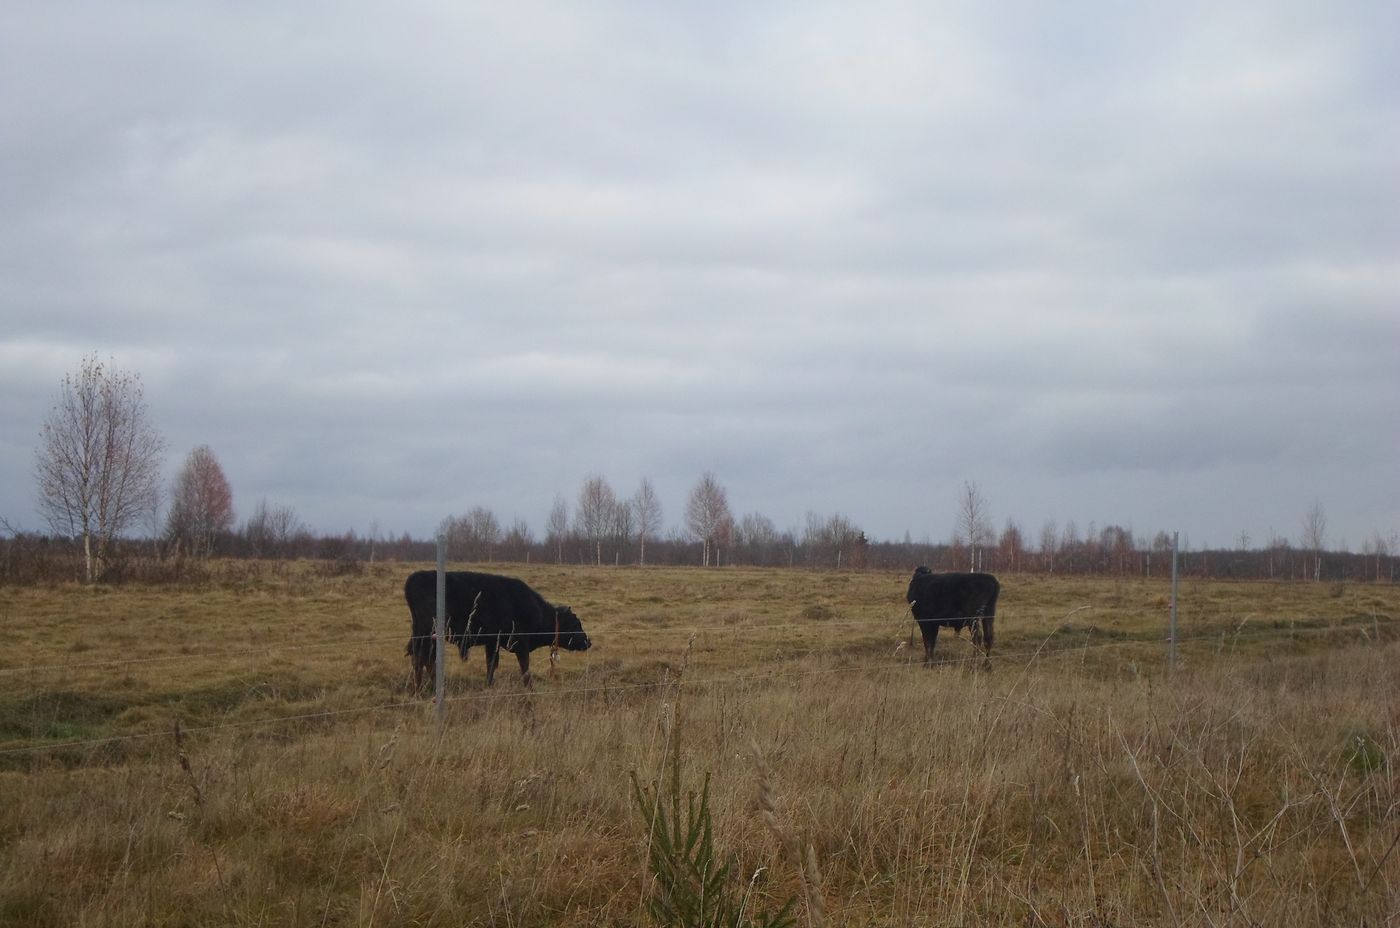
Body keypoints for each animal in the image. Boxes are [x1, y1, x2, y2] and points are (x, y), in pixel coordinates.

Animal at [400, 571, 590, 694]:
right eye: (576, 623)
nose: (588, 641)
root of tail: (415, 577)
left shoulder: (492, 643)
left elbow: (491, 665)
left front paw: (489, 685)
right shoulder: (520, 644)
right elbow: (525, 667)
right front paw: (530, 689)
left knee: (424, 660)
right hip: (427, 634)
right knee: (422, 659)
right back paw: (422, 691)